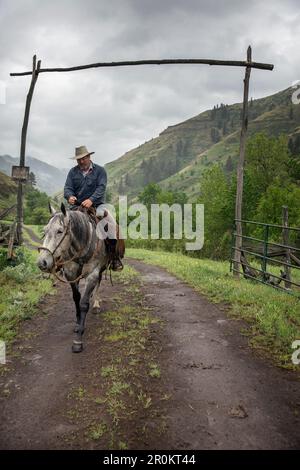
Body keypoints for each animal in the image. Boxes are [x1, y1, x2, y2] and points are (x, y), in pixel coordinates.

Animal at [36, 203, 109, 352]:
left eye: (60, 231)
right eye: (44, 231)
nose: (42, 262)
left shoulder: (92, 274)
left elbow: (84, 304)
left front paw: (78, 340)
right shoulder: (70, 274)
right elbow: (76, 299)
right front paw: (77, 323)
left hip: (101, 269)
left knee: (98, 284)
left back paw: (96, 304)